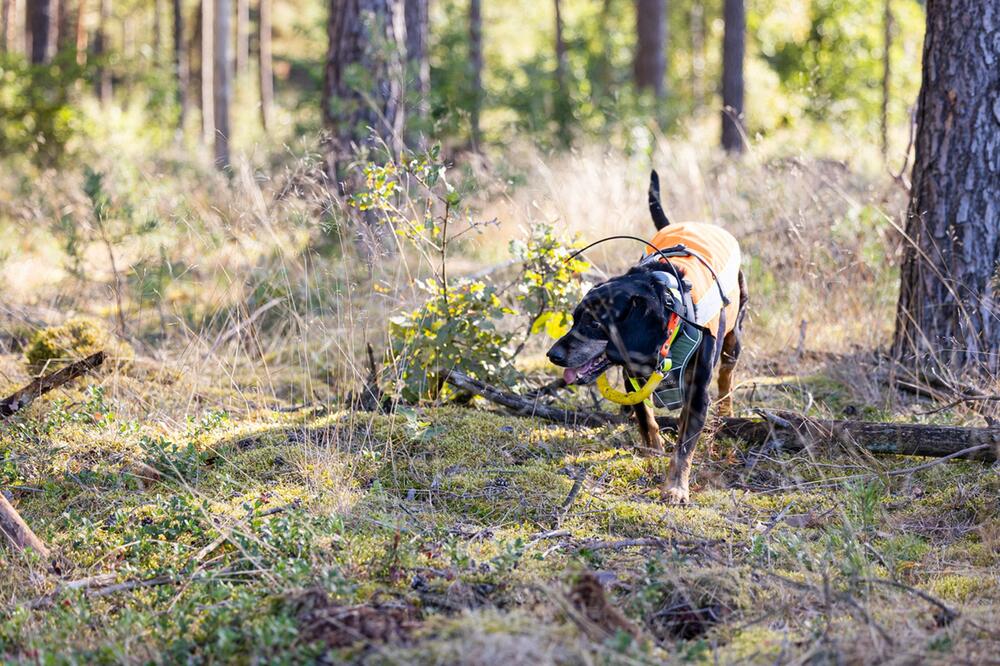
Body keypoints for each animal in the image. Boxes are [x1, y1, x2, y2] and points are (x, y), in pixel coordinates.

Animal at [548, 171, 752, 504]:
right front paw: (652, 451)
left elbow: (684, 445)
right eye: (575, 318)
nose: (552, 355)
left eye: (594, 323)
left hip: (735, 336)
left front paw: (676, 488)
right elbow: (643, 414)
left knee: (726, 378)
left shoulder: (697, 393)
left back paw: (726, 411)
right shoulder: (631, 372)